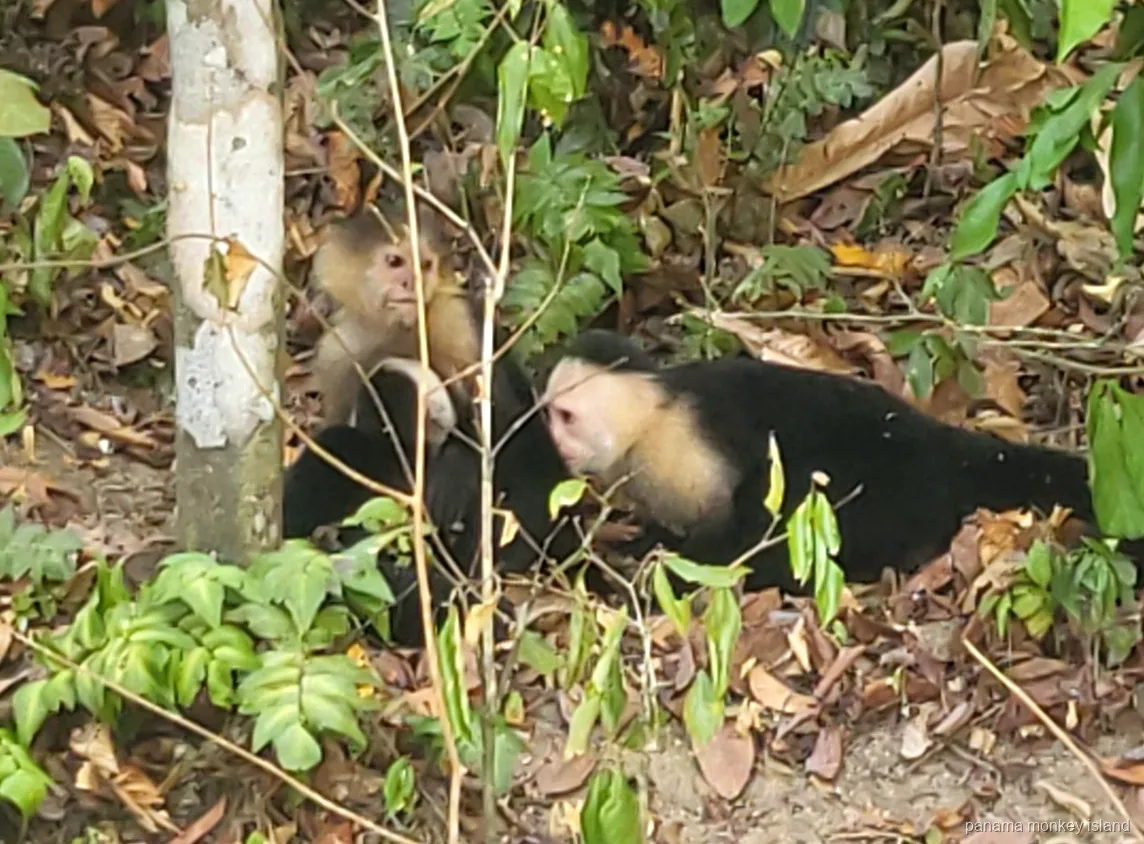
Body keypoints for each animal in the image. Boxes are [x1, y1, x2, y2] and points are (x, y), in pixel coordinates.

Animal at [541, 329, 1140, 594]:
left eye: (565, 416)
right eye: (548, 414)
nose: (556, 444)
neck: (650, 420)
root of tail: (940, 444)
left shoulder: (682, 446)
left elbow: (735, 524)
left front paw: (658, 560)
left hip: (888, 487)